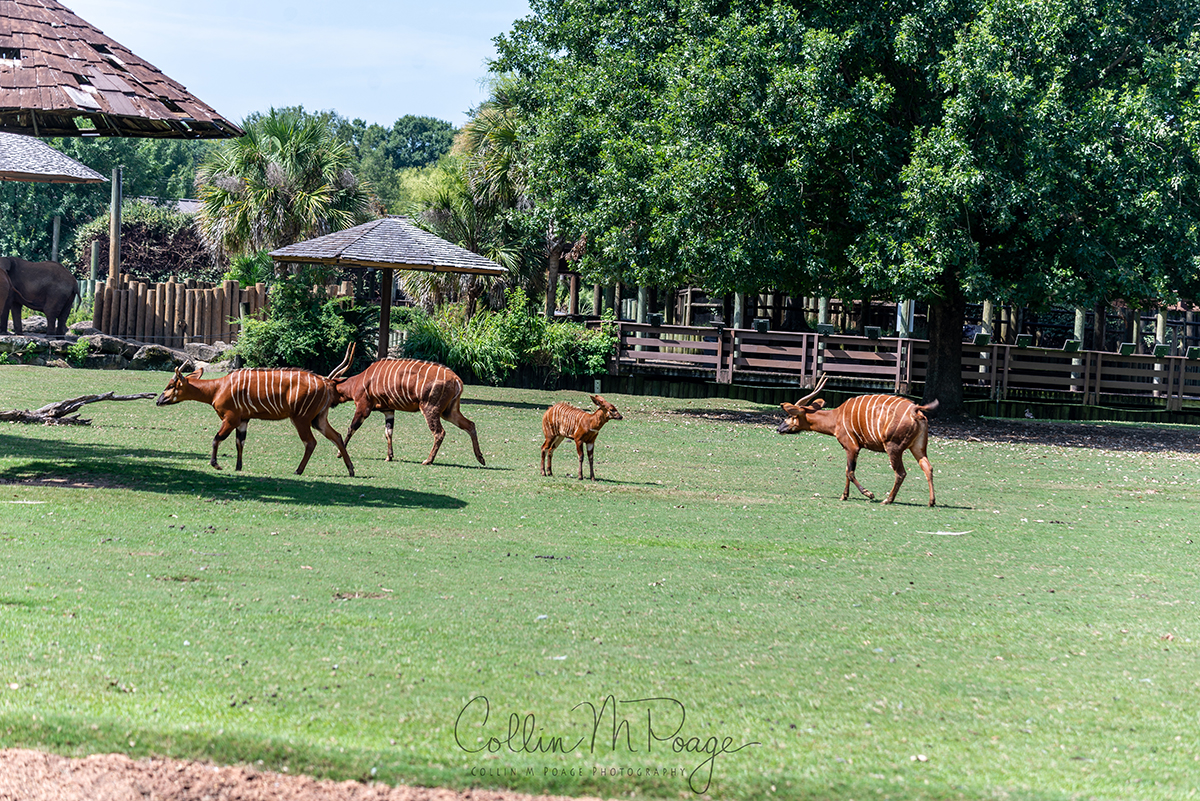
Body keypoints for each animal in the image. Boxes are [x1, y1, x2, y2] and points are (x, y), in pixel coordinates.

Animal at [154, 352, 352, 474]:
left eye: (170, 386)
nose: (158, 400)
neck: (218, 388)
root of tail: (325, 383)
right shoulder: (243, 420)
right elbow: (239, 443)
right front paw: (238, 467)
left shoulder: (231, 419)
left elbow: (217, 438)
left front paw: (216, 464)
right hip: (318, 419)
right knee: (336, 436)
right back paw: (351, 470)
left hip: (301, 418)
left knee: (310, 442)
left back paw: (298, 470)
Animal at [331, 359, 484, 465]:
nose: (330, 404)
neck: (359, 381)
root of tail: (457, 380)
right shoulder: (389, 411)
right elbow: (388, 432)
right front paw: (389, 457)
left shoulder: (363, 408)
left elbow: (351, 428)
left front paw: (339, 453)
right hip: (449, 412)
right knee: (470, 425)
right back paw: (481, 458)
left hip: (430, 409)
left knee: (440, 432)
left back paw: (427, 460)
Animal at [777, 376, 936, 503]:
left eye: (790, 415)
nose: (779, 429)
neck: (836, 417)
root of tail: (916, 411)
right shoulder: (851, 449)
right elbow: (847, 470)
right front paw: (844, 496)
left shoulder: (852, 447)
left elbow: (850, 472)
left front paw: (869, 494)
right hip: (917, 447)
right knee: (927, 467)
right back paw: (931, 502)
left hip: (893, 447)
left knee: (901, 473)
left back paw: (887, 500)